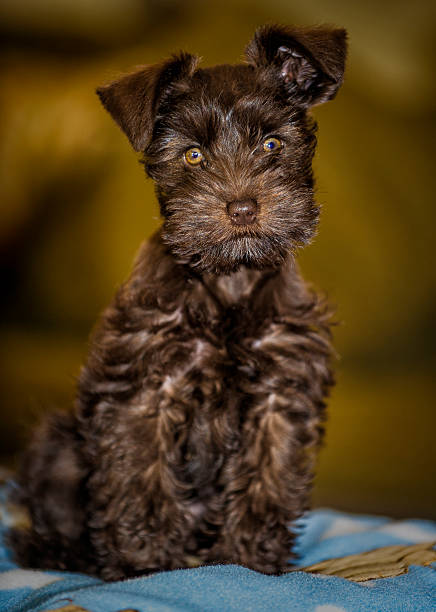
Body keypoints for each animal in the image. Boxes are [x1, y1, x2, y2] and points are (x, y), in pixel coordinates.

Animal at [8, 23, 346, 580]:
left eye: (273, 142)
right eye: (192, 155)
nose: (242, 207)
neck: (227, 280)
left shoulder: (280, 395)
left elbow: (265, 484)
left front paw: (246, 563)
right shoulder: (147, 392)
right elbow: (141, 484)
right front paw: (146, 567)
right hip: (54, 443)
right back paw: (59, 552)